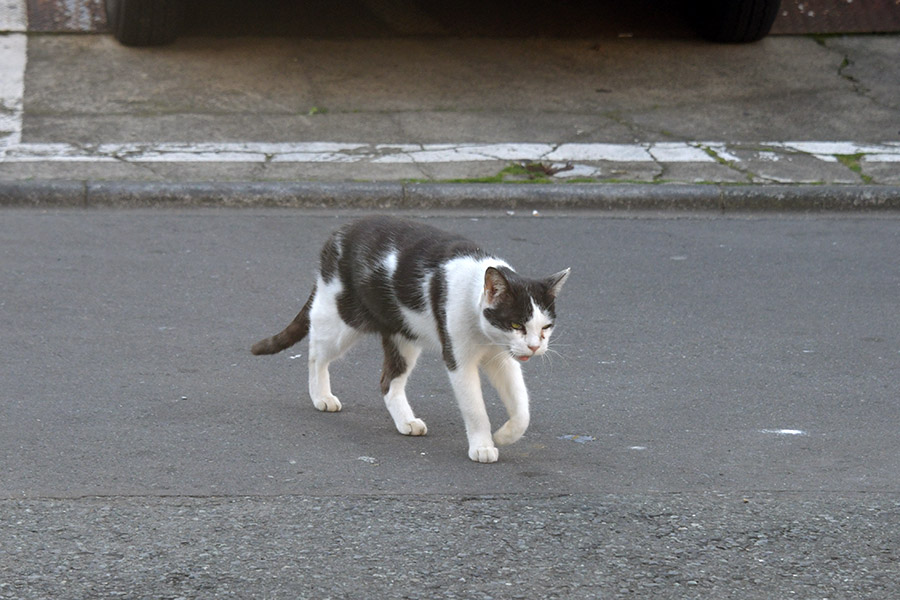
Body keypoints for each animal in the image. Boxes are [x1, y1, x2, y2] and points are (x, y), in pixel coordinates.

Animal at [250, 217, 568, 464]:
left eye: (545, 327)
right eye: (515, 324)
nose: (535, 347)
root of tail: (339, 231)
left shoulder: (502, 358)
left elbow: (522, 407)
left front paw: (504, 435)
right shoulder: (459, 360)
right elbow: (475, 407)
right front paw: (482, 446)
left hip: (404, 334)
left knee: (388, 381)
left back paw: (405, 421)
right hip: (341, 319)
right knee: (316, 353)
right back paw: (321, 396)